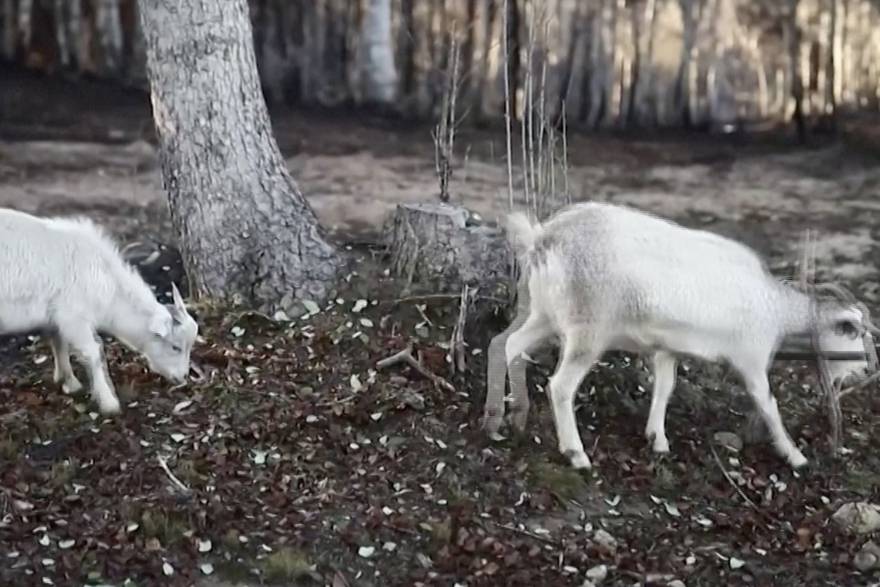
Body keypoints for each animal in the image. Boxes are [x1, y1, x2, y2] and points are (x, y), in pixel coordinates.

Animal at [0, 209, 199, 416]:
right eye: (175, 347)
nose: (183, 377)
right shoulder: (74, 317)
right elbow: (92, 352)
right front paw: (109, 403)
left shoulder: (56, 317)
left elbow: (59, 343)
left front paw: (68, 382)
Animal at [496, 204, 872, 470]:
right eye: (854, 334)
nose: (866, 371)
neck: (775, 306)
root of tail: (543, 237)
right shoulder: (750, 356)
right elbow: (768, 403)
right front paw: (794, 456)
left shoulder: (667, 348)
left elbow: (665, 387)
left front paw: (657, 439)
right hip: (588, 325)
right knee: (560, 386)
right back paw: (576, 454)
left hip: (543, 312)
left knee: (511, 345)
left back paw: (513, 417)